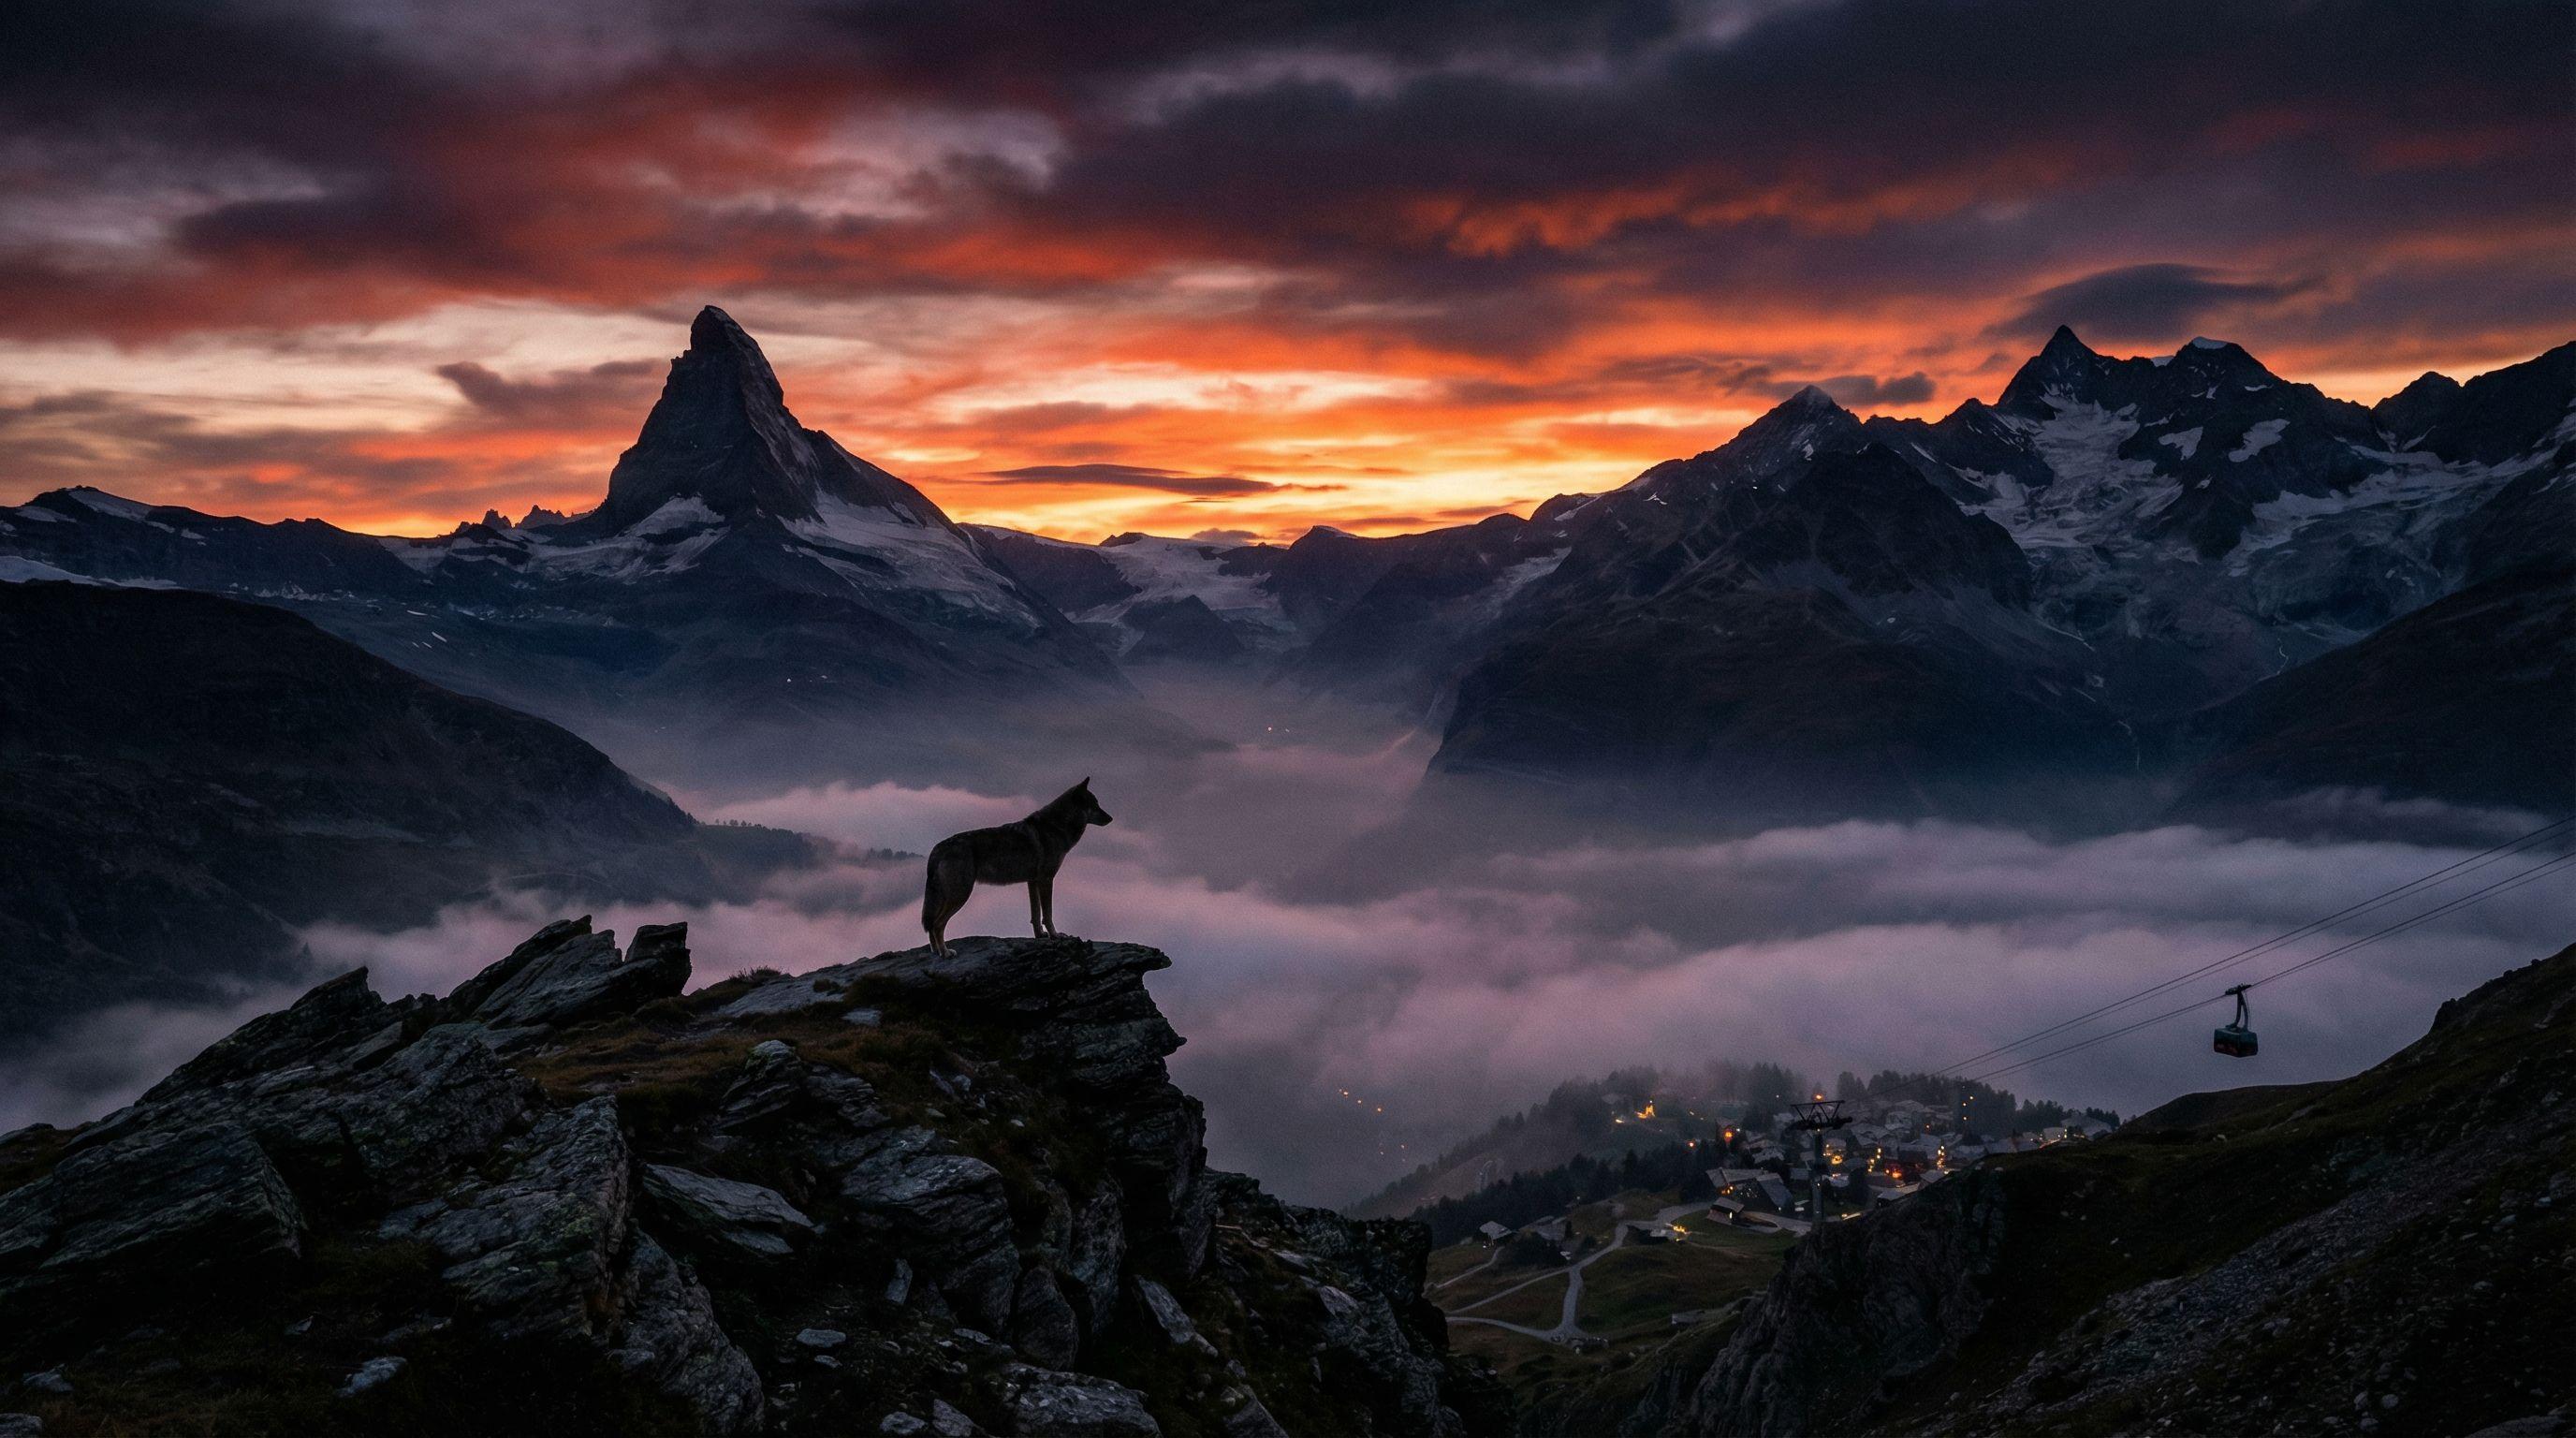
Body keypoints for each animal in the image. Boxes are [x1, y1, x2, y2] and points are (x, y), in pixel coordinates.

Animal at [922, 779, 1114, 956]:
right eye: (1095, 805)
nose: (1111, 818)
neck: (1056, 826)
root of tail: (937, 848)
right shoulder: (1046, 880)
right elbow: (1048, 913)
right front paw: (1055, 936)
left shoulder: (1032, 881)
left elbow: (1035, 914)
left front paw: (1040, 935)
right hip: (960, 895)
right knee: (937, 924)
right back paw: (945, 953)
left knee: (931, 924)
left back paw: (936, 951)